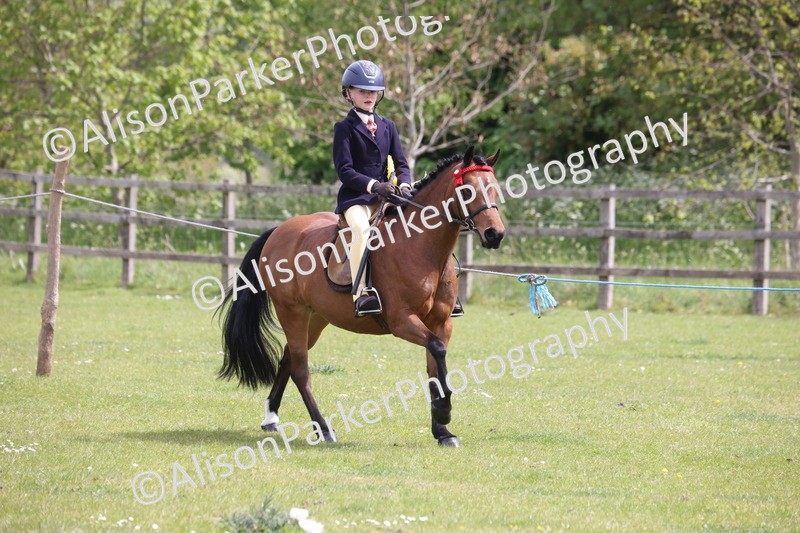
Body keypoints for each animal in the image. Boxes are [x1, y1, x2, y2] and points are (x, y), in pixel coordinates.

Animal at [217, 145, 505, 447]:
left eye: (495, 188)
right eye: (467, 191)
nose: (495, 234)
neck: (422, 249)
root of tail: (279, 231)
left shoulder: (441, 323)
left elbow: (434, 369)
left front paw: (442, 431)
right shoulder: (402, 321)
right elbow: (437, 350)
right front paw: (444, 411)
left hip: (316, 317)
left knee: (288, 358)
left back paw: (272, 417)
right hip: (291, 312)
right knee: (300, 369)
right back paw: (324, 429)